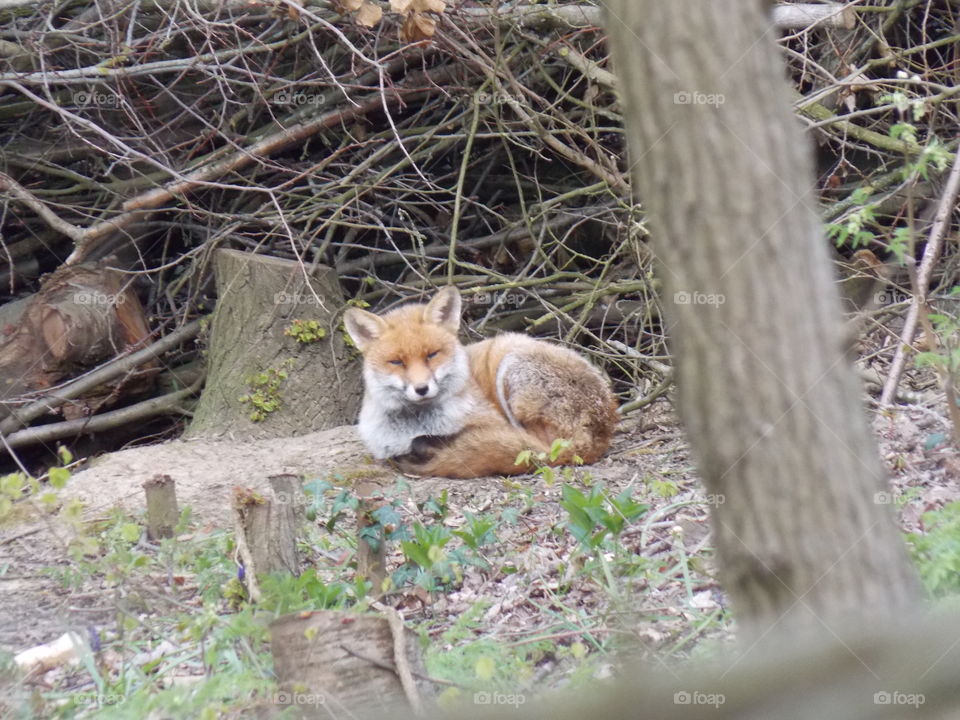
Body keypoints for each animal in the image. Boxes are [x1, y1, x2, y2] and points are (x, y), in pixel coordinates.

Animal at [342, 286, 618, 479]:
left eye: (432, 355)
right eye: (397, 362)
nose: (421, 389)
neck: (416, 424)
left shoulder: (492, 422)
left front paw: (432, 446)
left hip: (510, 364)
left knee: (538, 450)